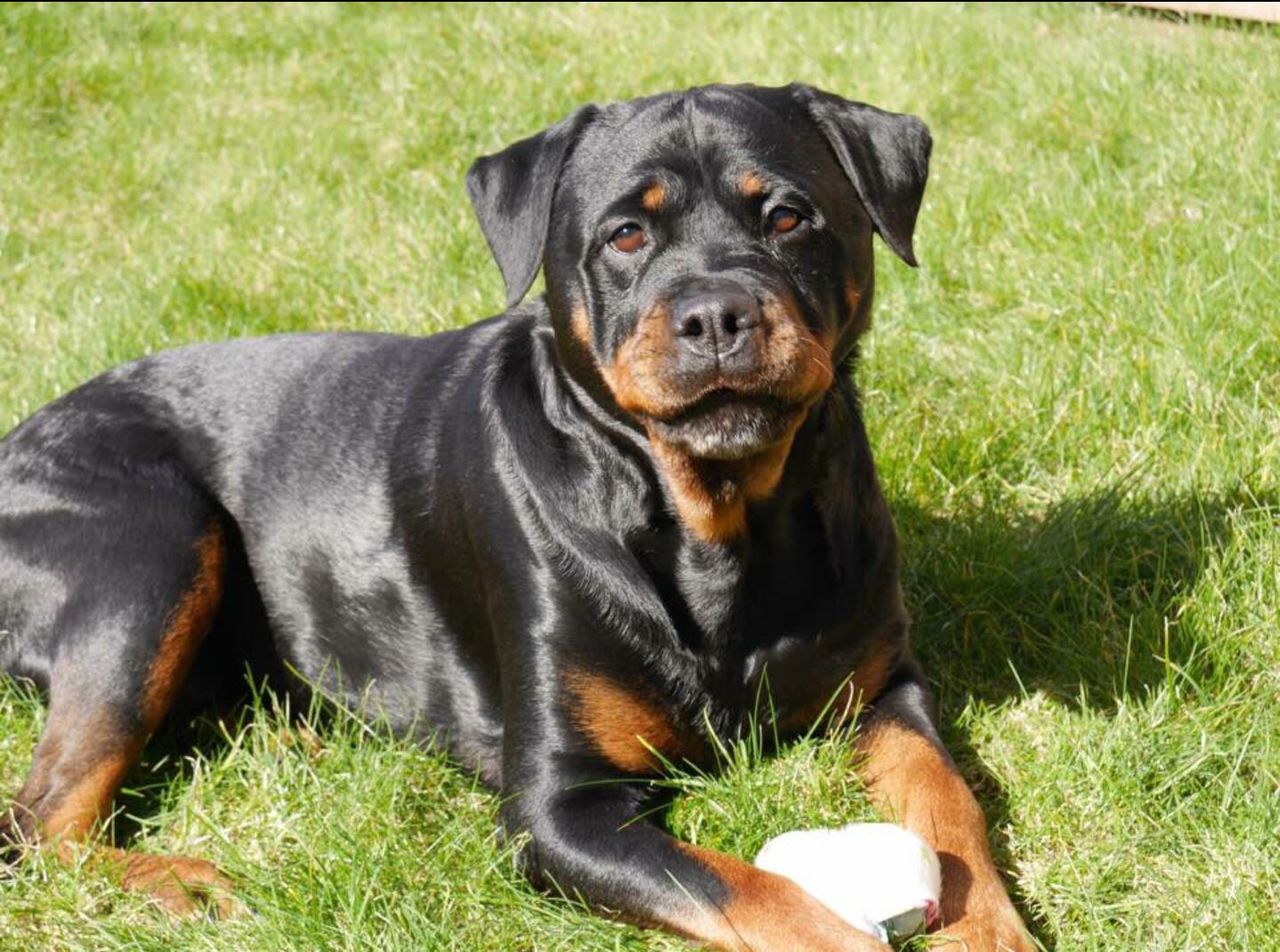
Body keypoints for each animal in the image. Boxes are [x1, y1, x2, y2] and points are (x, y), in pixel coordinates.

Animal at [0, 83, 1029, 952]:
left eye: (787, 216)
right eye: (625, 236)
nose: (715, 314)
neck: (719, 524)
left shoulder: (885, 685)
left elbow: (950, 804)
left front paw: (993, 929)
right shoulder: (558, 808)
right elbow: (753, 892)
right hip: (152, 547)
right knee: (40, 821)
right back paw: (183, 881)